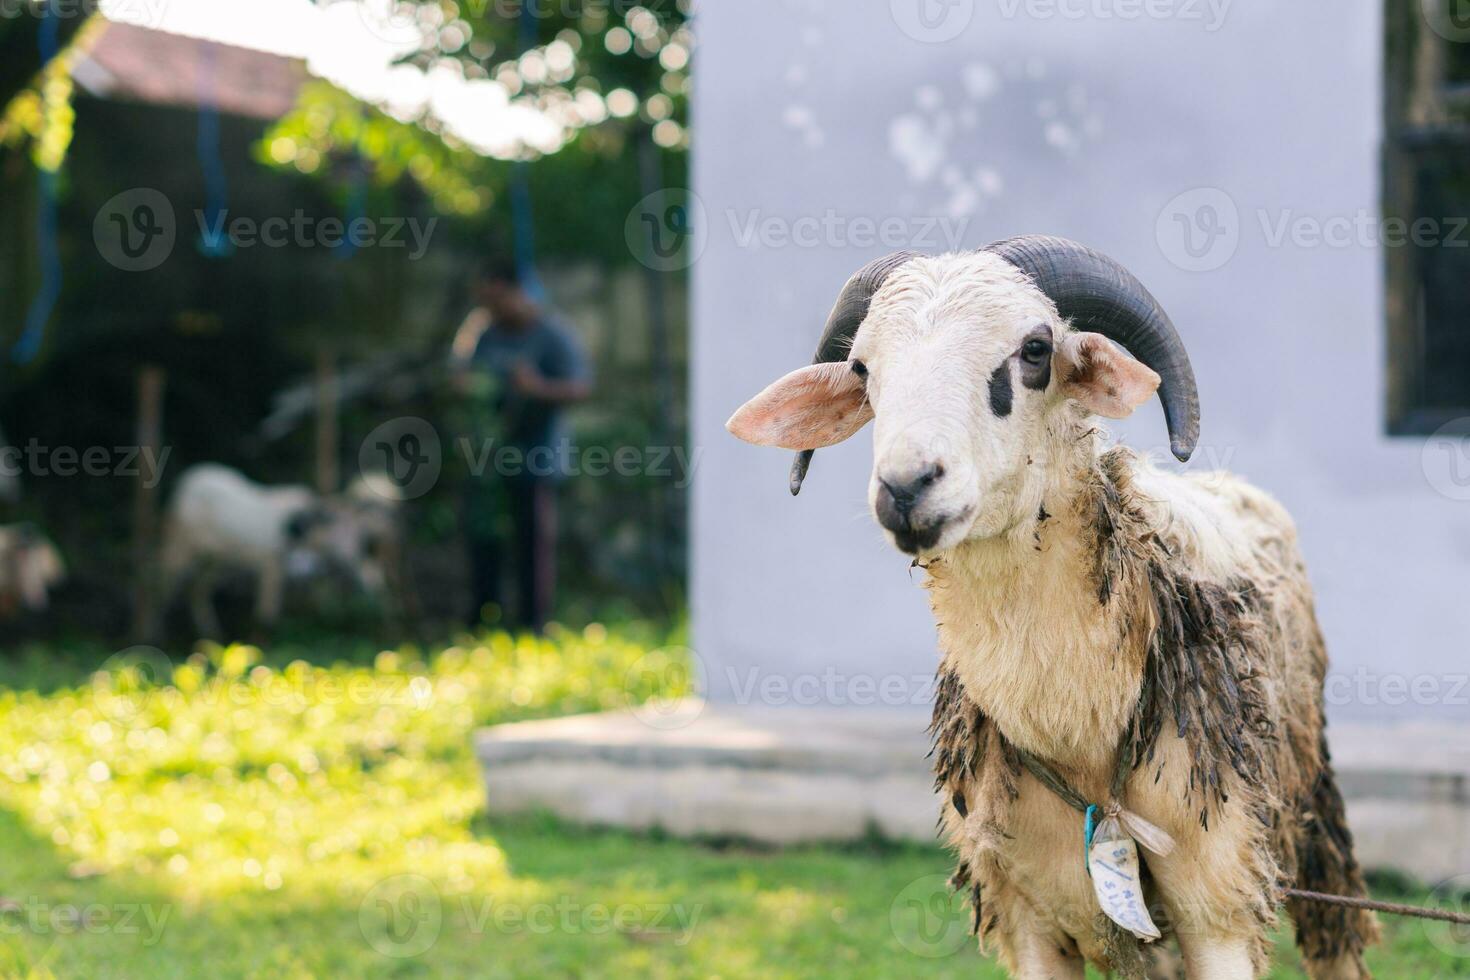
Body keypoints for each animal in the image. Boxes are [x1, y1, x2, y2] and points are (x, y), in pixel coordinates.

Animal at [729, 238, 1370, 980]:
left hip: (1312, 819)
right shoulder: (1026, 913)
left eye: (1035, 350)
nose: (906, 486)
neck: (1079, 734)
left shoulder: (1221, 899)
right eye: (862, 368)